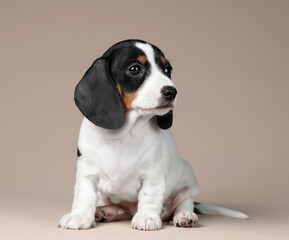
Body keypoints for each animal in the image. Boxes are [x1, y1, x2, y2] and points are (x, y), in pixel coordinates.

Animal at [58, 39, 248, 231]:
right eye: (135, 69)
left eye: (167, 70)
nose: (171, 91)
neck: (124, 135)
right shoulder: (87, 173)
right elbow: (84, 196)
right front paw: (79, 215)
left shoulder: (152, 175)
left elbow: (148, 196)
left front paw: (146, 217)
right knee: (120, 208)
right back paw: (107, 211)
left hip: (189, 183)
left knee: (185, 203)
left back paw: (184, 216)